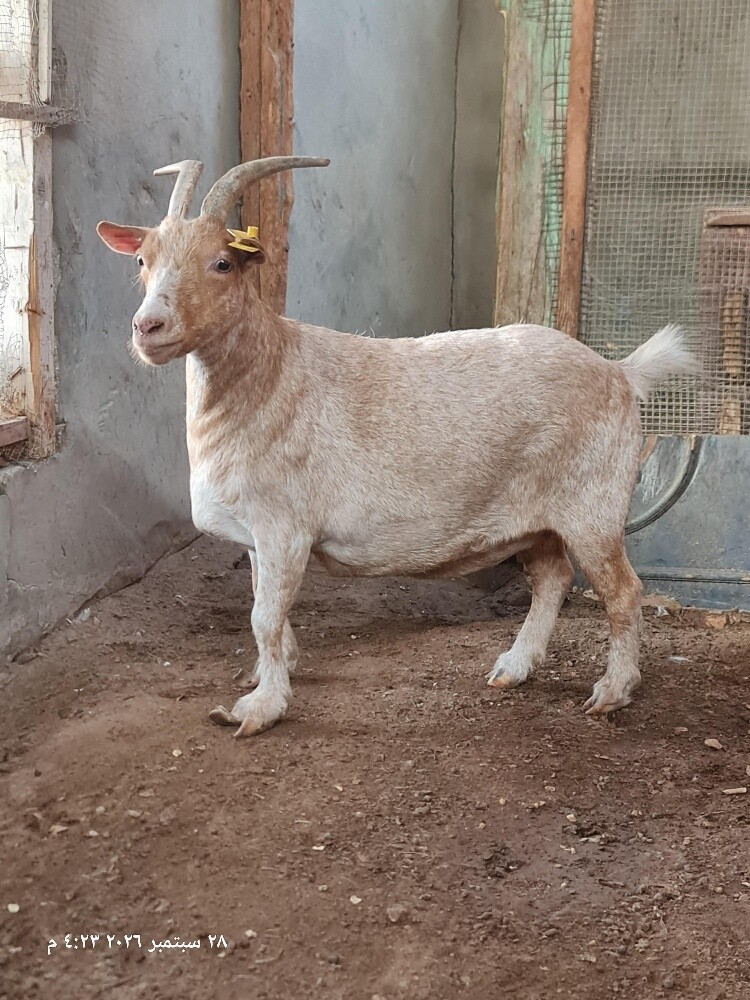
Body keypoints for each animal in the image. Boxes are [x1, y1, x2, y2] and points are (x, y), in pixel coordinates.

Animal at [97, 156, 697, 737]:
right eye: (142, 261)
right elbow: (265, 608)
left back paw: (613, 692)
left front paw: (258, 708)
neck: (268, 374)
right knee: (552, 579)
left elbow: (263, 618)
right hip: (537, 518)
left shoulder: (284, 527)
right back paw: (514, 668)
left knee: (623, 591)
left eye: (222, 263)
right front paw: (278, 669)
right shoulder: (255, 536)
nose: (148, 326)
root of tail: (620, 372)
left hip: (593, 508)